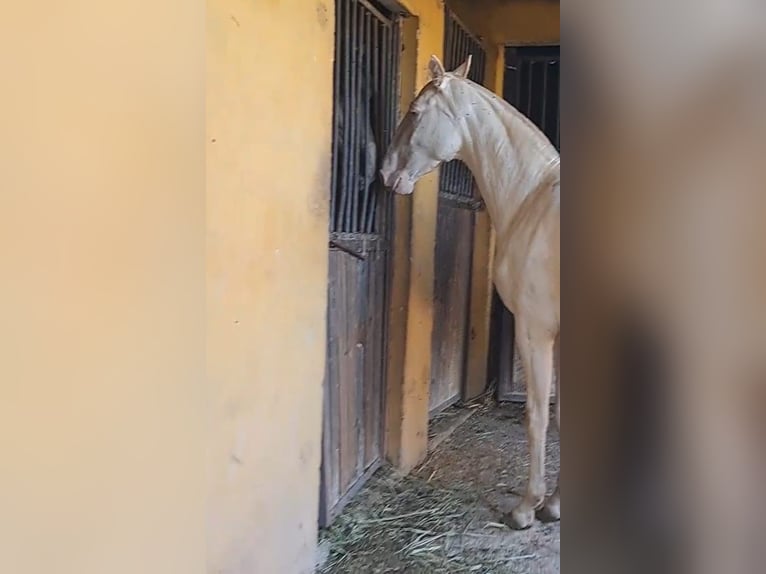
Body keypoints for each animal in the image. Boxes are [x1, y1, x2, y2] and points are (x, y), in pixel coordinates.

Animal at [380, 54, 560, 532]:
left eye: (415, 112)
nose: (385, 172)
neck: (533, 196)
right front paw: (553, 503)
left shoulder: (535, 330)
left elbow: (538, 415)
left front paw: (527, 507)